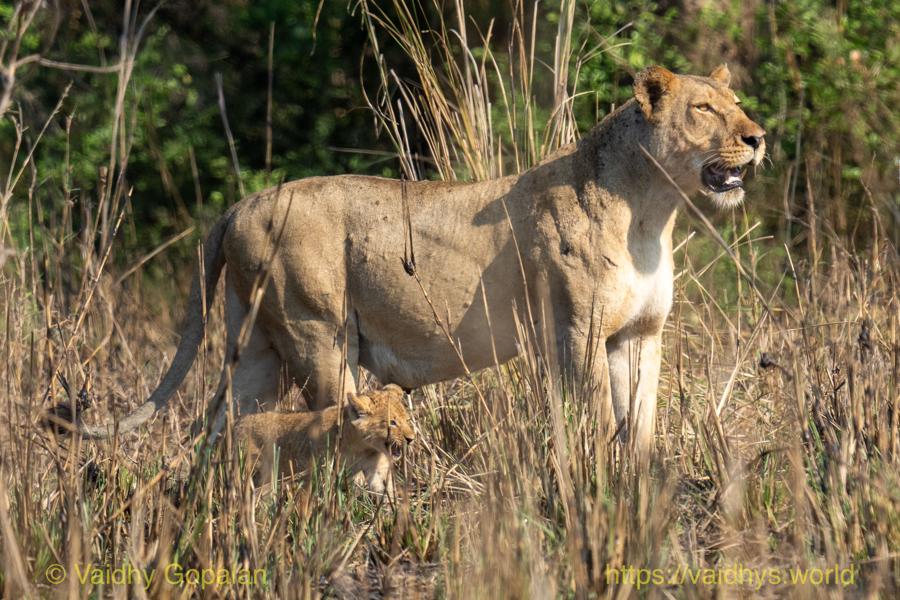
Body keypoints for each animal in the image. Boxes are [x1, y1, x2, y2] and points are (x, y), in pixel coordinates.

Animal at [77, 64, 765, 455]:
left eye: (736, 104)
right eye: (704, 108)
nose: (759, 137)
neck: (651, 209)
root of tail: (239, 204)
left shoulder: (639, 334)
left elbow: (640, 424)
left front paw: (639, 494)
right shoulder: (576, 330)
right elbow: (596, 420)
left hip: (256, 351)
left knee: (221, 425)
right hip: (318, 337)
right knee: (328, 422)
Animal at [234, 384, 415, 493]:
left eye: (407, 419)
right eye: (392, 422)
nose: (411, 438)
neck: (361, 446)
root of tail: (237, 423)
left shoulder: (376, 470)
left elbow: (383, 491)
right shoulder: (321, 471)